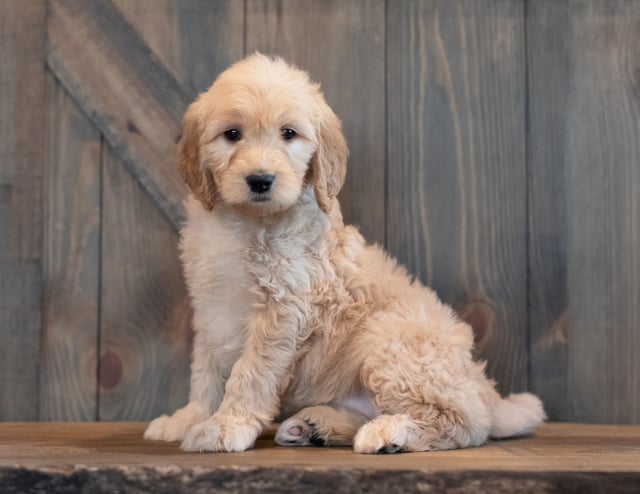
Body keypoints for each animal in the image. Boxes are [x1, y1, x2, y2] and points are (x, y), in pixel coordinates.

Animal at [145, 53, 544, 452]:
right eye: (231, 134)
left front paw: (226, 426)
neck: (246, 222)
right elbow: (206, 372)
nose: (260, 180)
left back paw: (389, 432)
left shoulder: (284, 310)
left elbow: (250, 373)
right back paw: (315, 426)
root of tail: (481, 386)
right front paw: (189, 418)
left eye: (288, 134)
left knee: (463, 422)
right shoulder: (211, 308)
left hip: (390, 341)